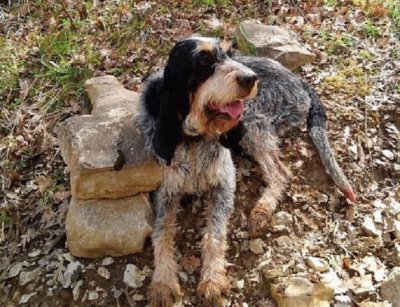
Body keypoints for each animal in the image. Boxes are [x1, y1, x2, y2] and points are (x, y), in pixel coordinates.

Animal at [139, 36, 260, 307]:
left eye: (230, 54)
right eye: (203, 61)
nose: (252, 77)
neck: (194, 139)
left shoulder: (224, 185)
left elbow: (214, 233)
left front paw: (212, 280)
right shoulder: (165, 193)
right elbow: (161, 234)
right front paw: (163, 282)